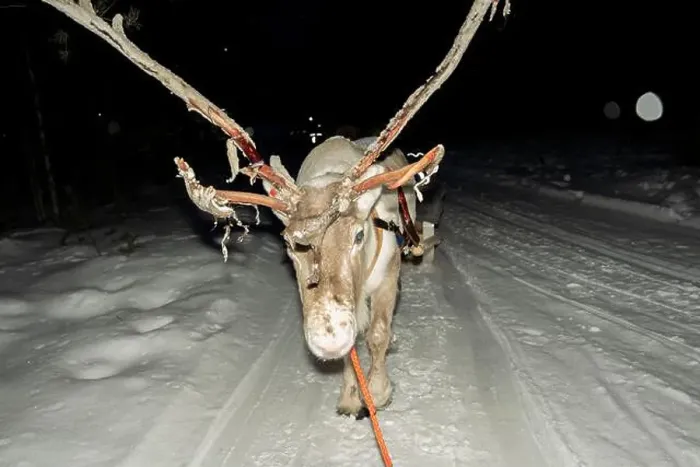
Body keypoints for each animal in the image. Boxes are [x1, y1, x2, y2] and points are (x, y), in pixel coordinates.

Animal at [41, 0, 511, 416]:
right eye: (289, 243)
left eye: (359, 234)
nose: (326, 336)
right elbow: (354, 347)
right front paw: (349, 397)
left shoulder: (387, 275)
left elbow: (377, 334)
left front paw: (378, 393)